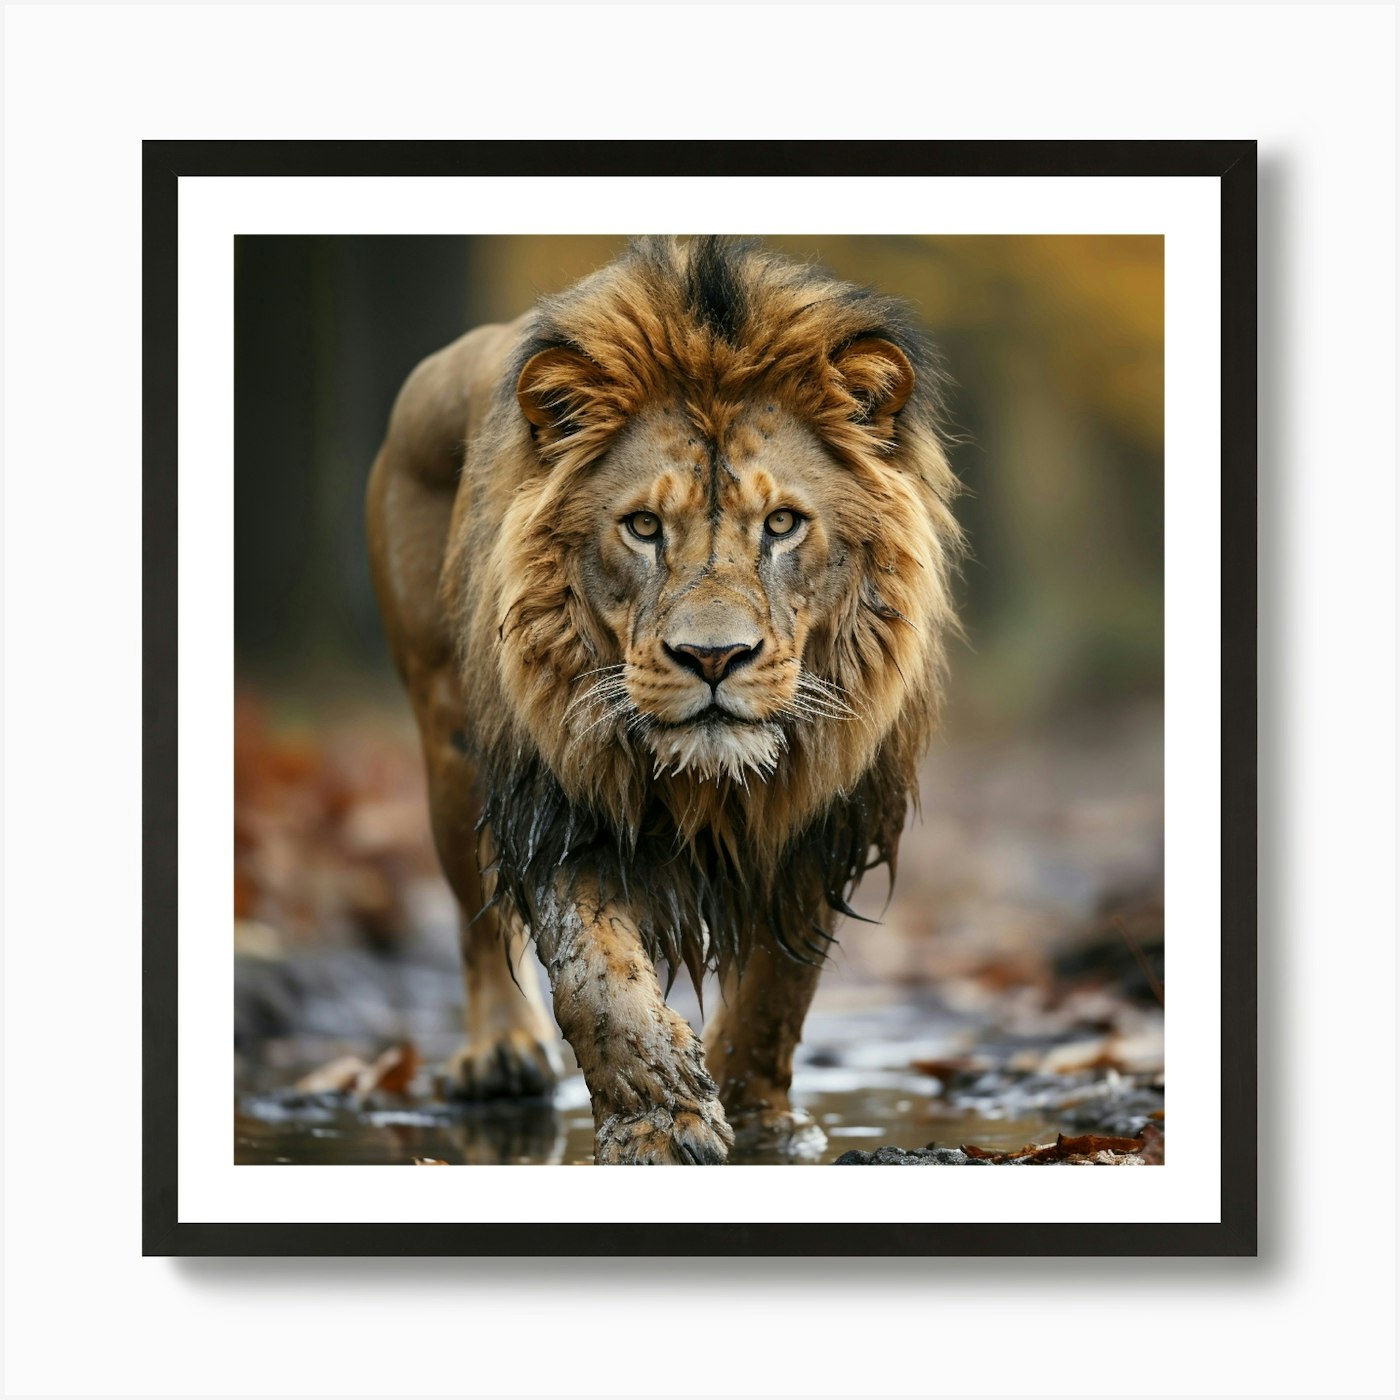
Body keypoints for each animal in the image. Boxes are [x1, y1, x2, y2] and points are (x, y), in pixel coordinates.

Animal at [366, 236, 962, 1164]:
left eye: (782, 524)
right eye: (643, 527)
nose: (713, 657)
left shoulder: (822, 818)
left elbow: (778, 991)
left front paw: (761, 1120)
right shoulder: (561, 796)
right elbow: (597, 977)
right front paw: (660, 1120)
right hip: (449, 744)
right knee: (475, 917)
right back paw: (502, 1054)